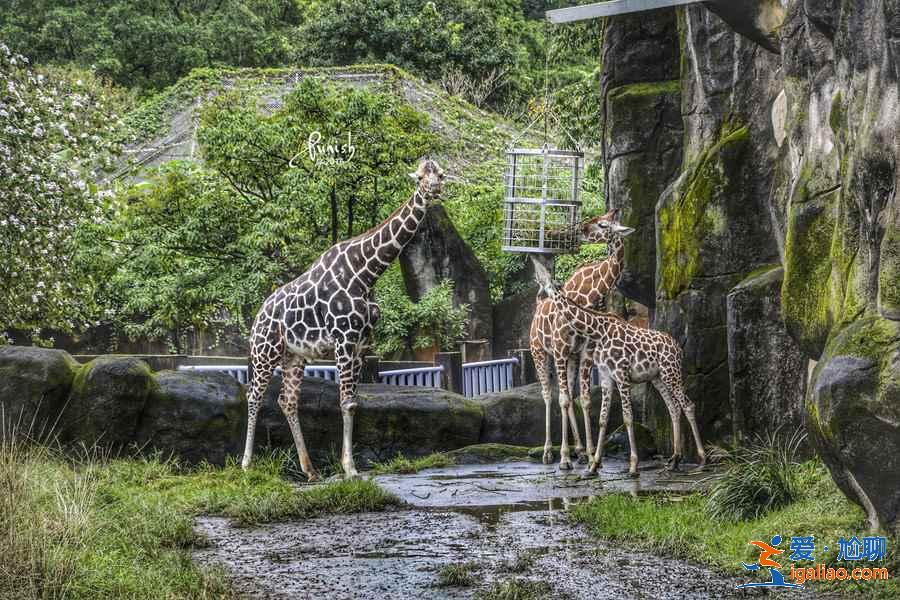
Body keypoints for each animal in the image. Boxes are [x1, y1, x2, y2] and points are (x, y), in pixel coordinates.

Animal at [243, 158, 446, 478]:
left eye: (440, 174)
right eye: (419, 178)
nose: (435, 189)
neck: (366, 273)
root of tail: (256, 318)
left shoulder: (363, 343)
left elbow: (353, 402)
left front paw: (351, 464)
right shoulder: (344, 339)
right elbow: (346, 403)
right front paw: (350, 468)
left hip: (293, 356)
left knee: (287, 400)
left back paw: (310, 470)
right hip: (265, 351)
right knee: (254, 395)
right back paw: (247, 464)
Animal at [532, 210, 636, 468]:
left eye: (603, 224)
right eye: (598, 219)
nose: (580, 230)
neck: (590, 295)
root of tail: (537, 307)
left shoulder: (584, 352)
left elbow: (585, 400)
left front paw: (588, 454)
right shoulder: (559, 350)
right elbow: (563, 400)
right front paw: (564, 457)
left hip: (570, 358)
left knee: (567, 394)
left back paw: (577, 450)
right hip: (539, 352)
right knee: (548, 395)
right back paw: (549, 452)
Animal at [532, 260, 708, 476]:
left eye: (544, 280)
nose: (540, 302)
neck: (598, 329)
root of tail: (677, 348)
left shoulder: (622, 375)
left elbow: (627, 417)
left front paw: (632, 465)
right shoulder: (607, 377)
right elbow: (603, 419)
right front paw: (593, 465)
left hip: (671, 372)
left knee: (688, 405)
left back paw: (702, 459)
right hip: (658, 377)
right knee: (674, 408)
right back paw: (675, 460)